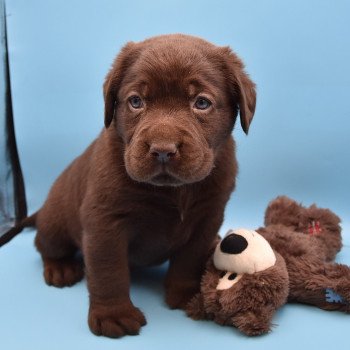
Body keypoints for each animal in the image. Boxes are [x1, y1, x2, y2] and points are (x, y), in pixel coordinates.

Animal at [34, 34, 256, 338]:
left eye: (201, 103)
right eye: (136, 101)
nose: (163, 149)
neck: (173, 190)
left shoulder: (209, 217)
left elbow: (190, 258)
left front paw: (186, 294)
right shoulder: (105, 221)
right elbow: (108, 271)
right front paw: (113, 315)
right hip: (55, 222)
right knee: (44, 244)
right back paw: (61, 268)